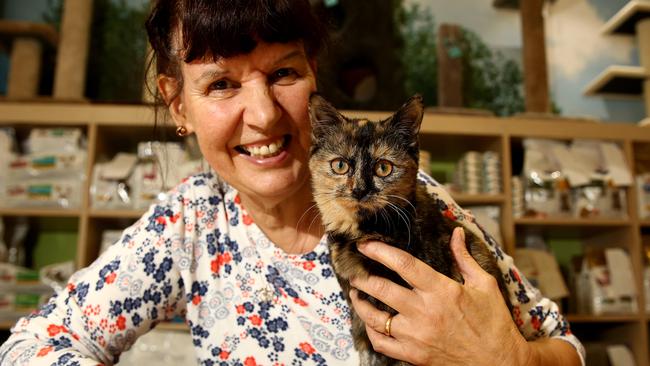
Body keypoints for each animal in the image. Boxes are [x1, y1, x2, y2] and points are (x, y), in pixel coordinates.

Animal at [306, 94, 508, 366]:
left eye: (383, 168)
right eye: (340, 165)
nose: (359, 190)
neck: (364, 233)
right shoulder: (359, 316)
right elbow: (368, 353)